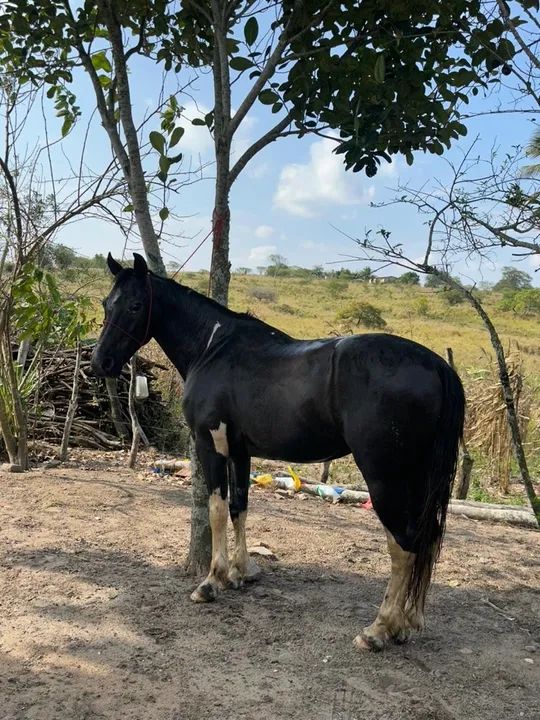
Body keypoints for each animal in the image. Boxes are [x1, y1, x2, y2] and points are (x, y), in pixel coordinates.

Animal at [91, 253, 465, 651]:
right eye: (106, 303)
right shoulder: (240, 452)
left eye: (135, 305)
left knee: (404, 545)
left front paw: (211, 582)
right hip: (418, 478)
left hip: (385, 478)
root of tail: (438, 366)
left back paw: (379, 629)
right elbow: (239, 507)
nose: (101, 363)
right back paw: (408, 623)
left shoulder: (212, 446)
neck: (212, 348)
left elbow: (217, 509)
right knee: (426, 539)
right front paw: (240, 573)